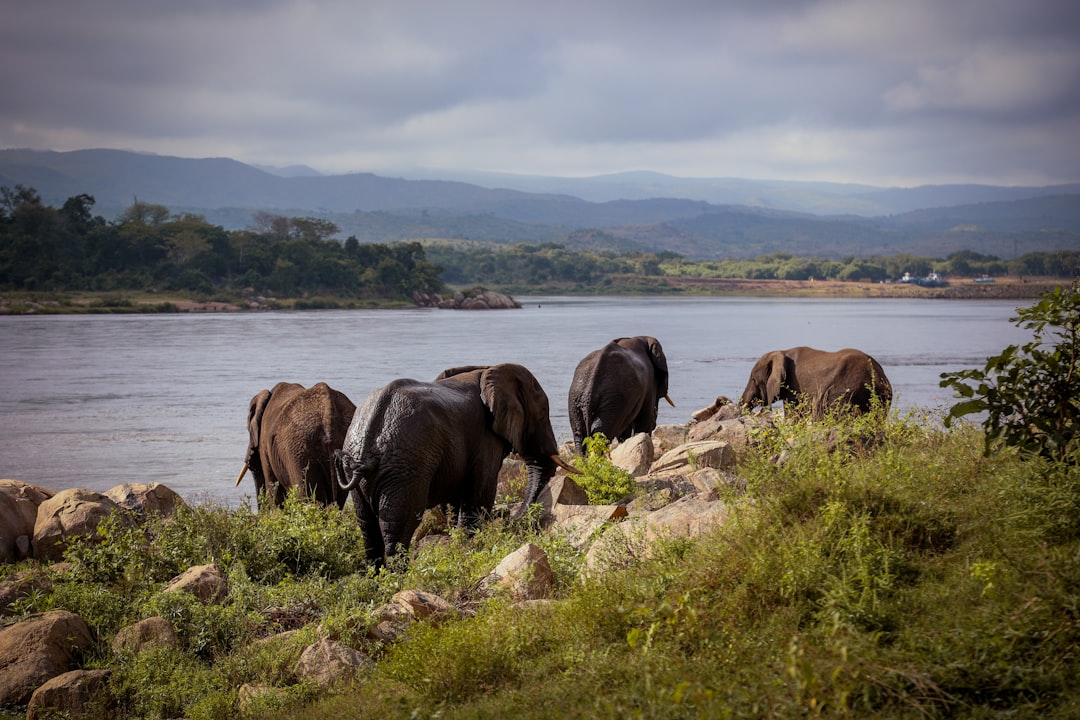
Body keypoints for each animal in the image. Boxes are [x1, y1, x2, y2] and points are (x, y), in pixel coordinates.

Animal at [333, 363, 577, 567]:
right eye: (542, 413)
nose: (508, 516)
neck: (489, 369)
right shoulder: (484, 438)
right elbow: (479, 496)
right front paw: (468, 549)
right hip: (406, 468)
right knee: (399, 525)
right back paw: (399, 578)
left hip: (366, 468)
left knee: (368, 526)